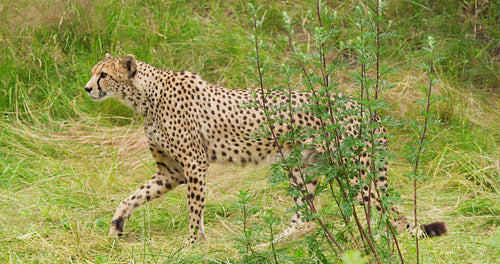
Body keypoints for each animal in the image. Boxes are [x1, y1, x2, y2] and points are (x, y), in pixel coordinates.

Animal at [84, 53, 448, 243]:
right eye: (94, 73)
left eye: (103, 75)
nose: (87, 88)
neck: (145, 96)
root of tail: (364, 106)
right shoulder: (171, 170)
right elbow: (136, 195)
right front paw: (117, 223)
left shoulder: (194, 164)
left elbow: (194, 209)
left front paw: (191, 245)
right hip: (303, 167)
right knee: (307, 213)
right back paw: (272, 243)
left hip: (353, 170)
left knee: (387, 212)